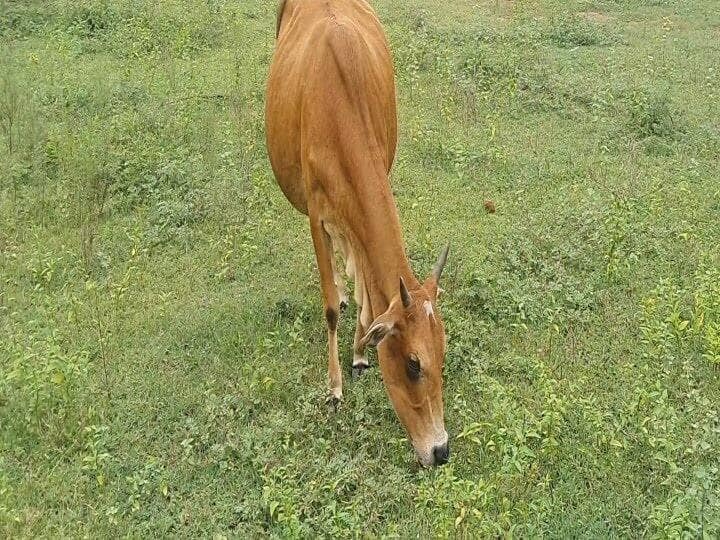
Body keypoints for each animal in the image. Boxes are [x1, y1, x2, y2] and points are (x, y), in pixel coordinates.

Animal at [264, 0, 450, 466]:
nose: (441, 450)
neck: (340, 107)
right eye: (413, 364)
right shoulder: (316, 215)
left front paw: (361, 351)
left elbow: (369, 293)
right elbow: (330, 305)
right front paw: (334, 388)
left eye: (442, 355)